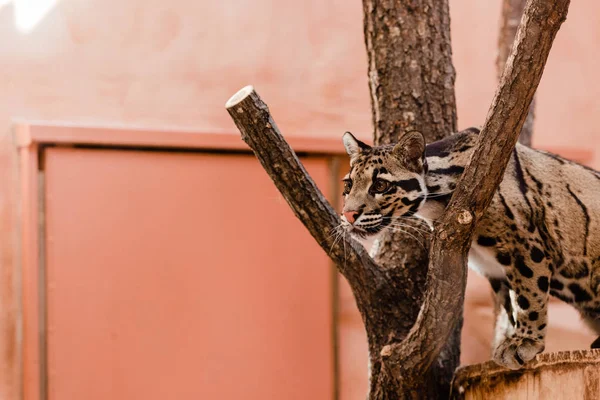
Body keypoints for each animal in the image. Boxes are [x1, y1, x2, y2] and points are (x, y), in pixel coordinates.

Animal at [340, 127, 600, 368]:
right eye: (348, 186)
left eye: (380, 185)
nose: (348, 214)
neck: (437, 205)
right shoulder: (495, 271)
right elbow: (510, 308)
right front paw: (510, 340)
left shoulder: (524, 243)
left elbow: (528, 296)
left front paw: (524, 342)